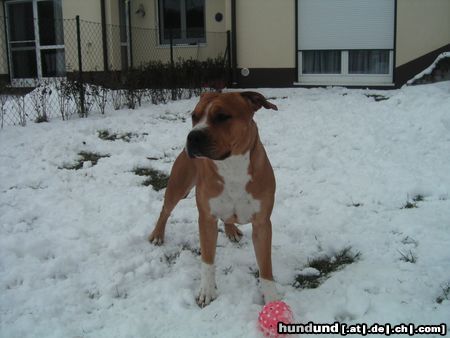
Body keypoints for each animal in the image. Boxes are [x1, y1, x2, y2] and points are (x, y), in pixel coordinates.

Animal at [149, 91, 280, 308]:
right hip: (178, 186)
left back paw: (231, 230)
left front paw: (271, 298)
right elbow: (208, 259)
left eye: (222, 116)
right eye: (194, 116)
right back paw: (158, 234)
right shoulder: (206, 219)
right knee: (165, 210)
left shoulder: (262, 223)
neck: (232, 166)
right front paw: (207, 291)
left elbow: (266, 266)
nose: (192, 135)